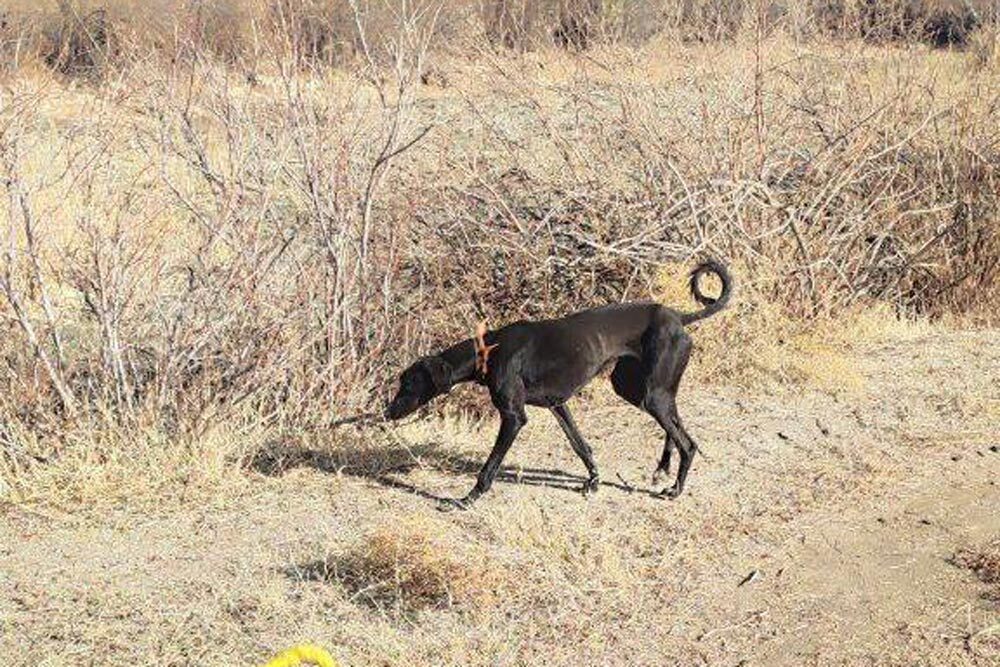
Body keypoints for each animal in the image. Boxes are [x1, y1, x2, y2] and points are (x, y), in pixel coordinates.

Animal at [386, 260, 732, 512]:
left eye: (408, 384)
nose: (387, 413)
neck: (489, 350)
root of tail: (679, 317)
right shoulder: (557, 405)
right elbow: (581, 445)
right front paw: (593, 481)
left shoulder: (514, 417)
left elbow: (489, 467)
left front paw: (466, 499)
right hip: (638, 389)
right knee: (674, 423)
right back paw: (662, 468)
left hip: (651, 395)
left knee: (688, 442)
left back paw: (675, 489)